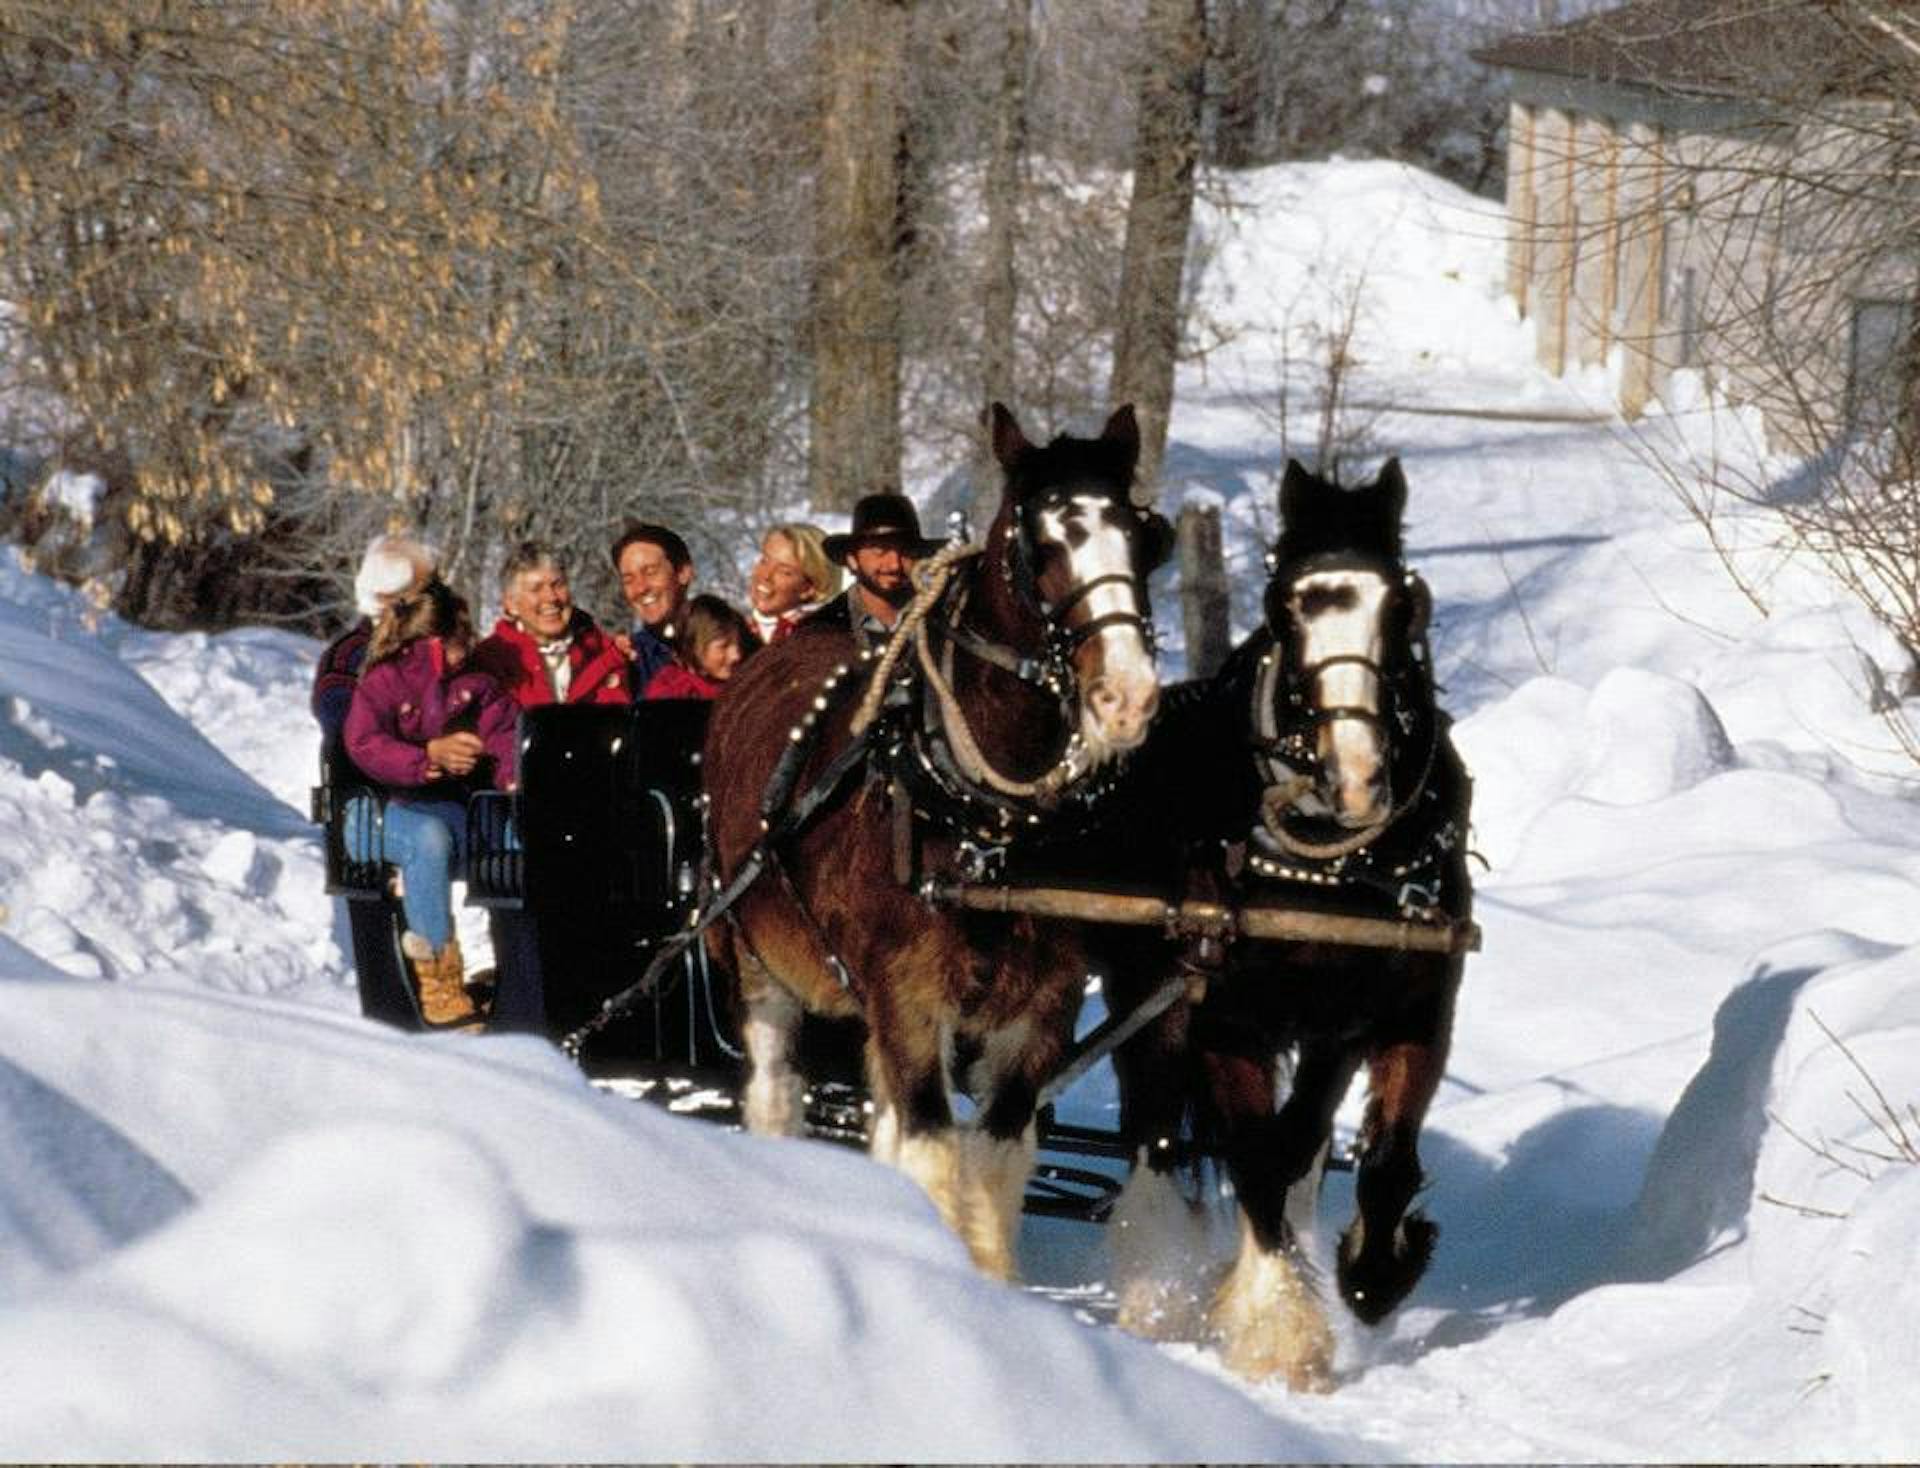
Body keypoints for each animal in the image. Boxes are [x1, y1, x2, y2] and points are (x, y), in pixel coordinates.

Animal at [706, 401, 1167, 1274]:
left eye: (1142, 536)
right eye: (1041, 546)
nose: (1127, 697)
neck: (992, 828)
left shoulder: (1042, 1010)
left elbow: (990, 1158)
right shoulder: (908, 992)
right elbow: (931, 1147)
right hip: (757, 961)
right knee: (776, 1094)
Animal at [1090, 458, 1474, 1389]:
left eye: (1401, 603)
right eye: (1285, 606)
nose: (1356, 775)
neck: (1328, 857)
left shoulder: (1404, 1011)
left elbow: (1374, 1158)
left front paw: (1374, 1271)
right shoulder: (1227, 1020)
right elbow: (1255, 1159)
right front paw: (1280, 1331)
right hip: (1148, 1002)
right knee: (1154, 1134)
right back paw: (1157, 1292)